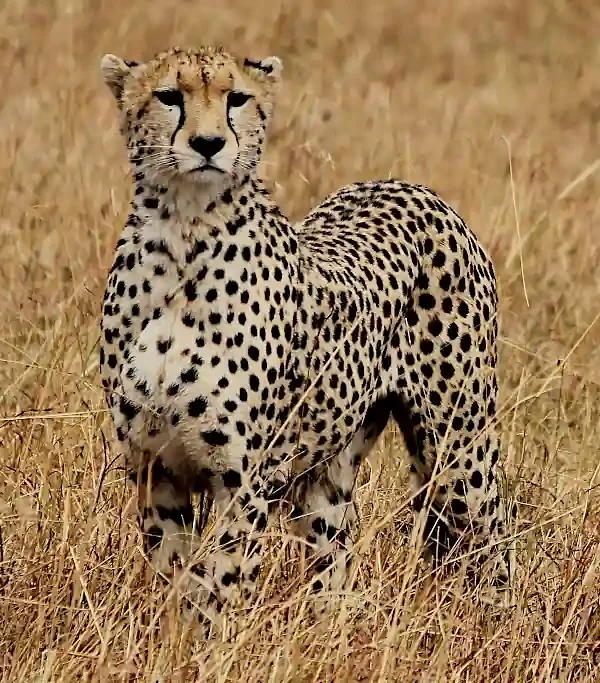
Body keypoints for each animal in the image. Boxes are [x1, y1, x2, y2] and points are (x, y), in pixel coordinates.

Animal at [99, 44, 515, 630]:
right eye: (168, 96)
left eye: (236, 98)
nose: (209, 144)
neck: (183, 235)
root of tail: (410, 186)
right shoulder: (155, 470)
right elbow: (177, 580)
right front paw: (177, 639)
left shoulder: (243, 479)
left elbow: (219, 581)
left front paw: (212, 640)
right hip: (330, 466)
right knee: (336, 551)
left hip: (458, 447)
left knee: (491, 536)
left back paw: (497, 626)